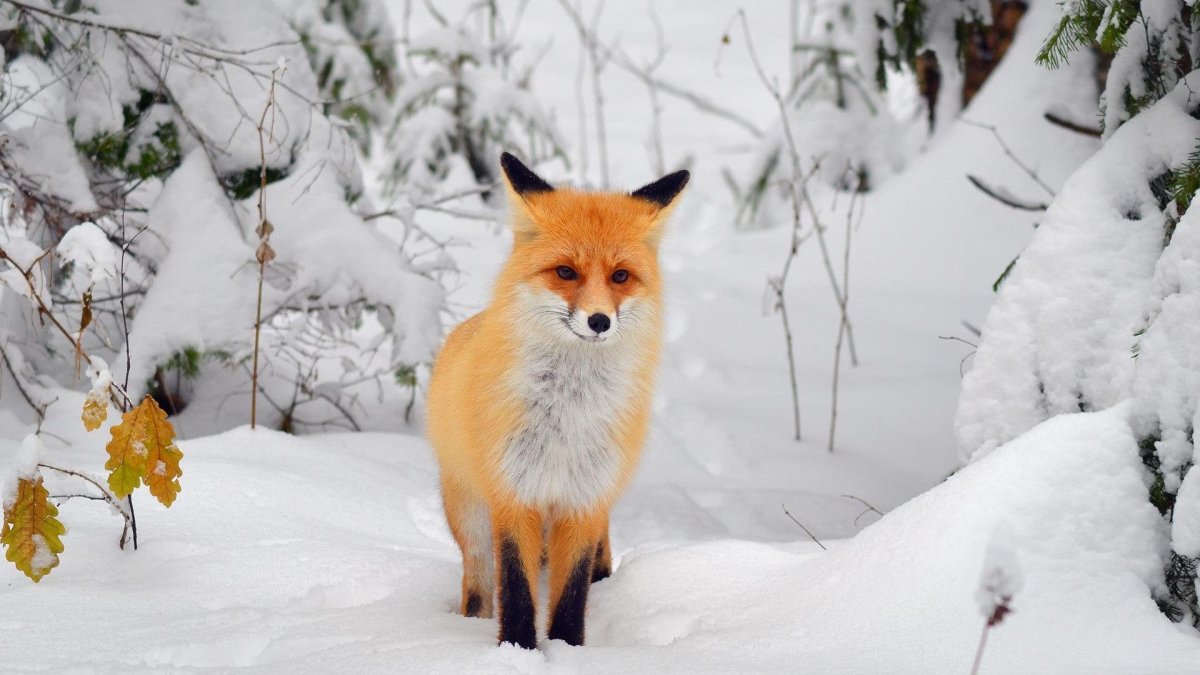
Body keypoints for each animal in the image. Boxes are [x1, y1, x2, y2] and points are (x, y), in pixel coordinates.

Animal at [426, 152, 688, 649]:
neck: (568, 414)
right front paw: (518, 650)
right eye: (566, 272)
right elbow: (517, 590)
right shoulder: (513, 493)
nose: (599, 321)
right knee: (479, 586)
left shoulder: (584, 500)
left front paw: (568, 648)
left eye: (620, 276)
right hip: (471, 521)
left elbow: (571, 592)